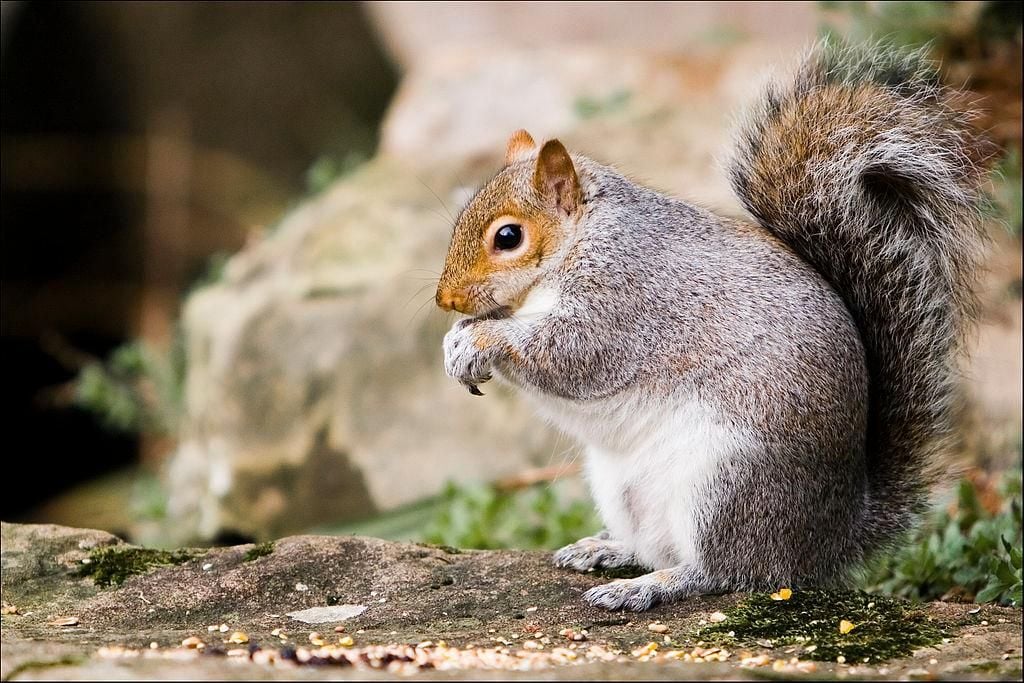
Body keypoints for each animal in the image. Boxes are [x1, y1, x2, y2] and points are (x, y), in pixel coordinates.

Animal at [434, 40, 991, 610]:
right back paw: (607, 551)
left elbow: (573, 355)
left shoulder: (625, 301)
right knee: (654, 546)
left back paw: (650, 586)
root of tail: (828, 540)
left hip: (726, 485)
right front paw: (455, 342)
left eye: (508, 237)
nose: (444, 299)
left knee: (725, 570)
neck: (577, 244)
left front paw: (480, 340)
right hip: (624, 490)